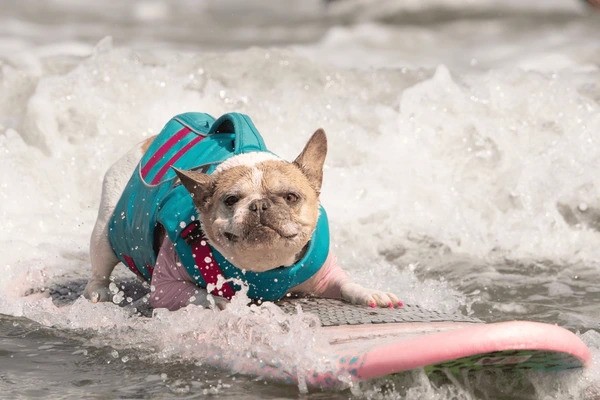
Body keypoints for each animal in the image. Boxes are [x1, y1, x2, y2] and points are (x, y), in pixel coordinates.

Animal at [82, 111, 400, 310]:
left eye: (291, 196)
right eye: (231, 199)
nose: (259, 204)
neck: (263, 269)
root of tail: (146, 142)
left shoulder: (325, 277)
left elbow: (346, 284)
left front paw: (370, 292)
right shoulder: (167, 288)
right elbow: (205, 295)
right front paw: (230, 303)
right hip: (105, 228)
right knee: (101, 262)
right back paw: (97, 290)